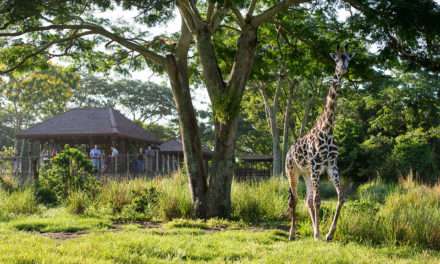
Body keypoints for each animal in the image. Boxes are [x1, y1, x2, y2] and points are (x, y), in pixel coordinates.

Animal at [286, 45, 354, 241]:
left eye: (348, 58)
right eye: (336, 59)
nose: (343, 68)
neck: (327, 128)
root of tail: (288, 151)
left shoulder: (331, 164)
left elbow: (341, 197)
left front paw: (328, 234)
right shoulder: (317, 164)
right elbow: (318, 199)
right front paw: (318, 233)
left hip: (307, 173)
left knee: (307, 199)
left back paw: (312, 231)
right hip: (292, 171)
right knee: (295, 199)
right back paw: (292, 234)